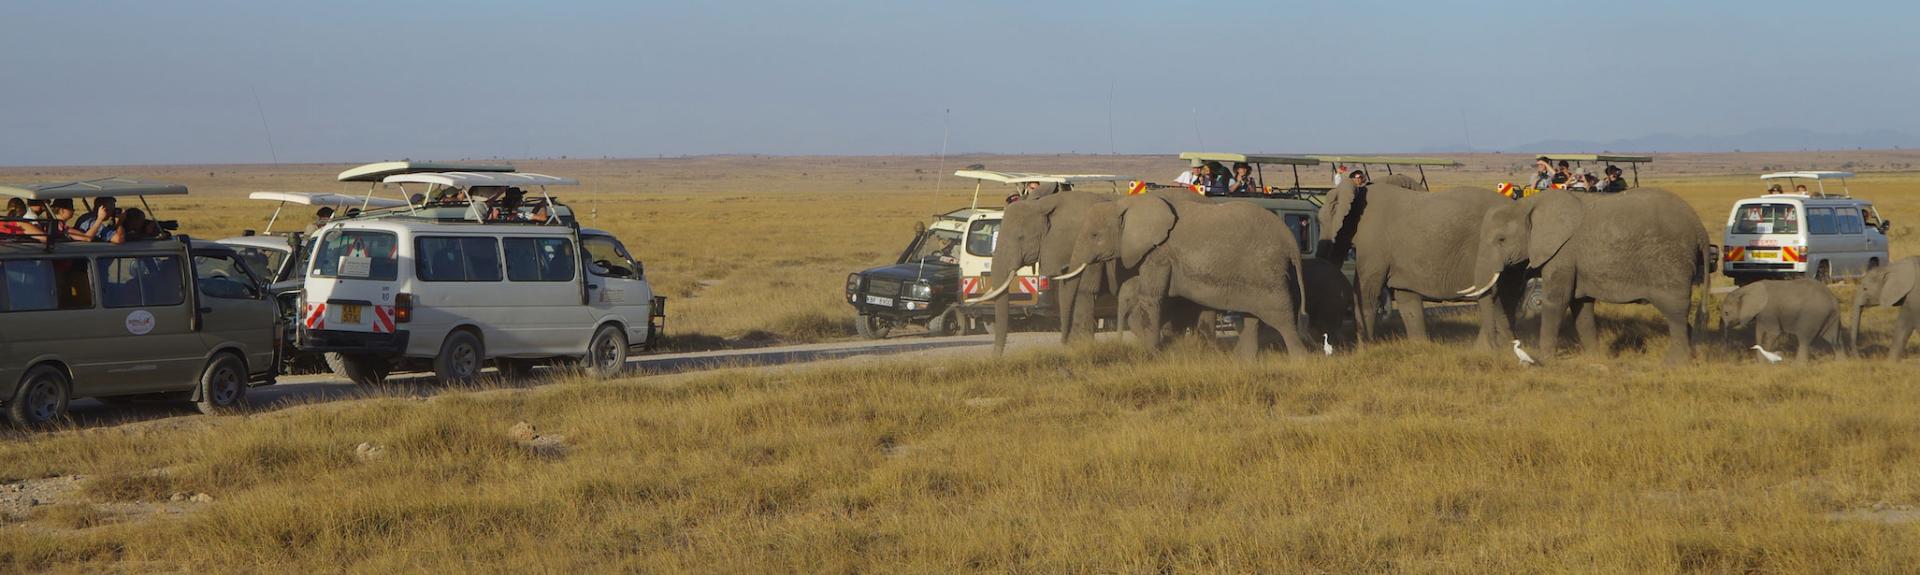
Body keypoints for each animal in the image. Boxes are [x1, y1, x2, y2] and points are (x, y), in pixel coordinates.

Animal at [1059, 194, 1313, 357]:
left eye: (1095, 235)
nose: (1063, 344)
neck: (1126, 204)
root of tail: (1290, 241)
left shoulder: (1159, 254)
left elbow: (1151, 297)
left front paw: (1149, 354)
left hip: (1266, 270)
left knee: (1281, 318)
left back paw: (1300, 361)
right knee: (1252, 317)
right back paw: (1242, 362)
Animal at [1313, 182, 1520, 350]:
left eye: (1321, 221)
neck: (1357, 191)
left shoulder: (1373, 241)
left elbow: (1367, 292)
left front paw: (1364, 349)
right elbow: (1407, 299)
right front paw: (1419, 346)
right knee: (1504, 297)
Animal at [1459, 189, 1720, 363]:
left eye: (1501, 240)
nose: (1497, 349)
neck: (1527, 204)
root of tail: (1699, 227)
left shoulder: (1562, 253)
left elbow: (1556, 301)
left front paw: (1545, 359)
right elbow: (1581, 306)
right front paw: (1594, 357)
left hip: (1670, 261)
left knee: (1675, 311)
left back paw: (1675, 363)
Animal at [1720, 278, 1850, 361]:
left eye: (1726, 313)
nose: (1726, 353)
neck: (1746, 289)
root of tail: (1833, 299)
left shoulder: (1769, 311)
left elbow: (1773, 333)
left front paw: (1765, 362)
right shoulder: (1762, 313)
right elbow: (1759, 332)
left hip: (1812, 315)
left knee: (1804, 339)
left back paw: (1797, 367)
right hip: (1832, 316)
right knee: (1835, 340)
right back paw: (1841, 364)